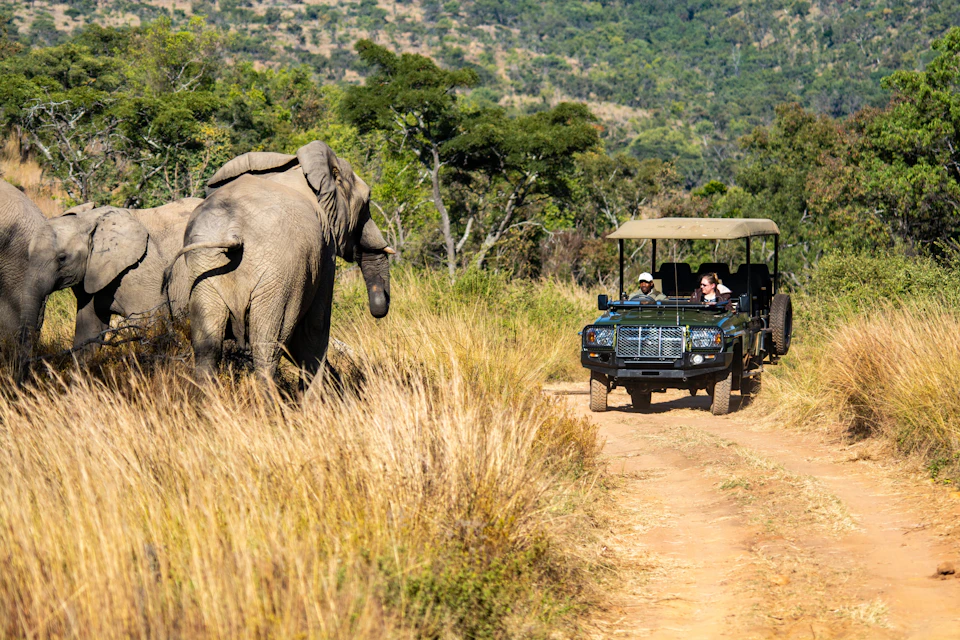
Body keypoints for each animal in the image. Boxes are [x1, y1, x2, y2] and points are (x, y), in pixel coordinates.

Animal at [168, 140, 392, 388]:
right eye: (367, 202)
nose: (378, 311)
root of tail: (232, 231)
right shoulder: (325, 251)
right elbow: (314, 326)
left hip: (205, 269)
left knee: (207, 346)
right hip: (280, 276)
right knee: (268, 345)